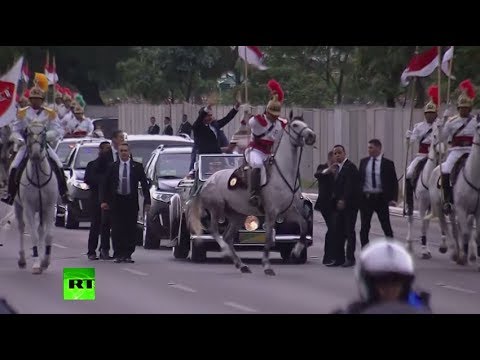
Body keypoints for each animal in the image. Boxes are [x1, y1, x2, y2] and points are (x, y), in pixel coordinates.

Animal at [187, 115, 316, 276]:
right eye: (295, 125)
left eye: (305, 123)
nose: (312, 136)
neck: (283, 175)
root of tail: (208, 181)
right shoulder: (271, 212)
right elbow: (268, 238)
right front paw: (267, 266)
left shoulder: (288, 212)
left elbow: (303, 226)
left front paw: (296, 251)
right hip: (216, 209)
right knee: (214, 231)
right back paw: (226, 251)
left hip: (237, 215)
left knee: (227, 237)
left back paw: (241, 265)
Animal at [406, 125, 448, 258]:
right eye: (434, 135)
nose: (441, 150)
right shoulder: (422, 203)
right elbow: (423, 224)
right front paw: (424, 249)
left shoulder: (438, 203)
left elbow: (437, 222)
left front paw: (443, 246)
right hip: (411, 200)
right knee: (411, 219)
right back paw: (409, 244)